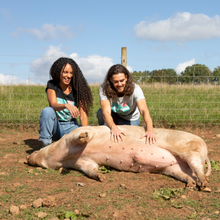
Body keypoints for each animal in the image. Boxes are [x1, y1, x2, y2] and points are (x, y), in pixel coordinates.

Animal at [26, 125, 211, 189]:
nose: (27, 159)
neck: (66, 156)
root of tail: (206, 151)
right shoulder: (83, 162)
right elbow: (91, 170)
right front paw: (101, 177)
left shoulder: (75, 135)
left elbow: (80, 135)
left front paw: (85, 137)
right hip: (174, 168)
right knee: (188, 175)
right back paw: (192, 185)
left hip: (190, 151)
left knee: (198, 169)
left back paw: (205, 185)